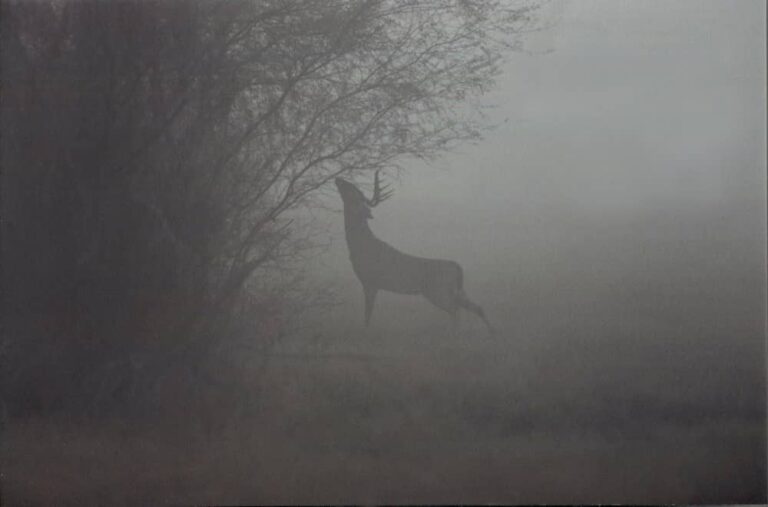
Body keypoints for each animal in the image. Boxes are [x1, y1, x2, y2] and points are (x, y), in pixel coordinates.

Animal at [335, 171, 493, 335]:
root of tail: (456, 267)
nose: (338, 179)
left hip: (437, 290)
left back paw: (456, 333)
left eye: (353, 190)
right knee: (476, 307)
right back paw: (490, 332)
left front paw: (365, 332)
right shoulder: (370, 283)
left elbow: (367, 315)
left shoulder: (370, 281)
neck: (361, 246)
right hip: (455, 290)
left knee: (456, 310)